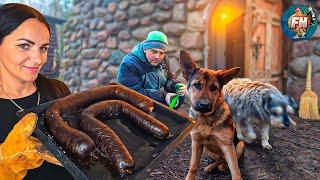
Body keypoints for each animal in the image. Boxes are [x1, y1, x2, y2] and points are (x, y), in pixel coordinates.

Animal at [180, 49, 245, 180]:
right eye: (197, 85)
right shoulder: (196, 143)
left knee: (227, 161)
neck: (206, 119)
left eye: (214, 87)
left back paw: (223, 167)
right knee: (220, 159)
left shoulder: (227, 146)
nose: (204, 105)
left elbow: (235, 169)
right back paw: (212, 166)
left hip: (239, 146)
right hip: (206, 149)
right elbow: (193, 166)